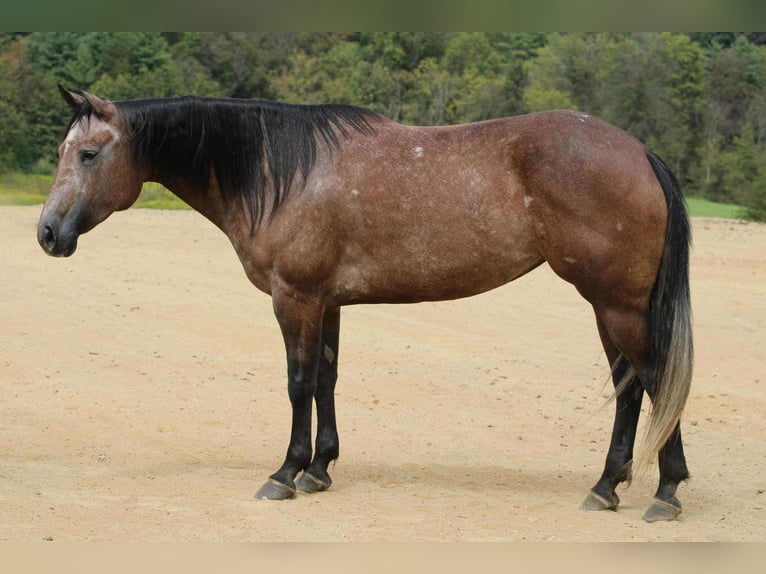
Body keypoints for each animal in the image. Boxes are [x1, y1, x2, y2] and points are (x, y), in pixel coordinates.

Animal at [38, 86, 692, 523]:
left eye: (88, 154)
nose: (47, 233)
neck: (281, 171)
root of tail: (639, 153)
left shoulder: (295, 297)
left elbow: (299, 382)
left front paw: (285, 472)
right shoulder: (327, 302)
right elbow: (327, 379)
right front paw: (320, 469)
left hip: (616, 304)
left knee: (656, 380)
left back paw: (665, 493)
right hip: (607, 306)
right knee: (631, 388)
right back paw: (607, 486)